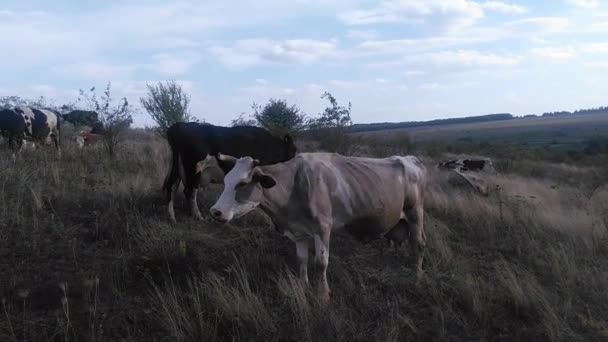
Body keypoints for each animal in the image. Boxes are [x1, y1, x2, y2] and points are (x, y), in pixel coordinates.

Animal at [160, 121, 296, 223]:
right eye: (293, 151)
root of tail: (179, 125)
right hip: (193, 168)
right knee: (189, 191)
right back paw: (197, 215)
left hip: (177, 167)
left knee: (171, 187)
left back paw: (171, 216)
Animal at [209, 152, 428, 302]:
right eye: (225, 181)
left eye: (242, 183)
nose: (215, 211)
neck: (293, 186)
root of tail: (409, 158)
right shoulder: (298, 231)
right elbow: (302, 259)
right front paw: (303, 285)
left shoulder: (322, 228)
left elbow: (321, 262)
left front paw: (323, 295)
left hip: (415, 212)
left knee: (418, 245)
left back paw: (418, 278)